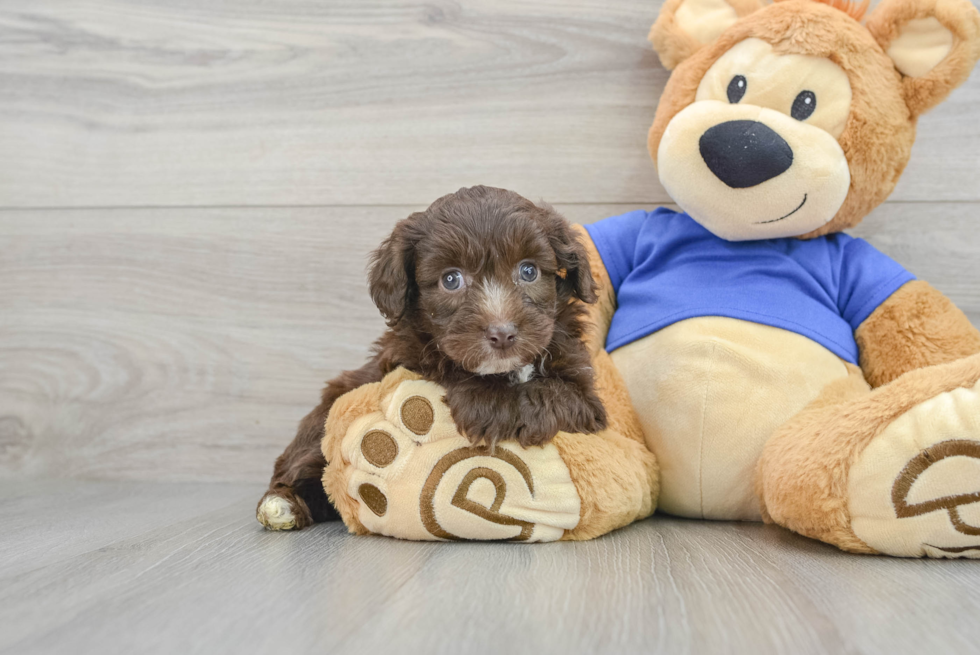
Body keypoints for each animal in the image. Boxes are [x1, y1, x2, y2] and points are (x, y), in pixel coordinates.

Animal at [255, 184, 604, 532]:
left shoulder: (583, 391)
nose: (502, 334)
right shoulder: (405, 357)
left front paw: (499, 409)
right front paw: (488, 403)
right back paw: (281, 504)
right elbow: (445, 366)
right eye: (450, 279)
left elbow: (557, 394)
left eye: (529, 271)